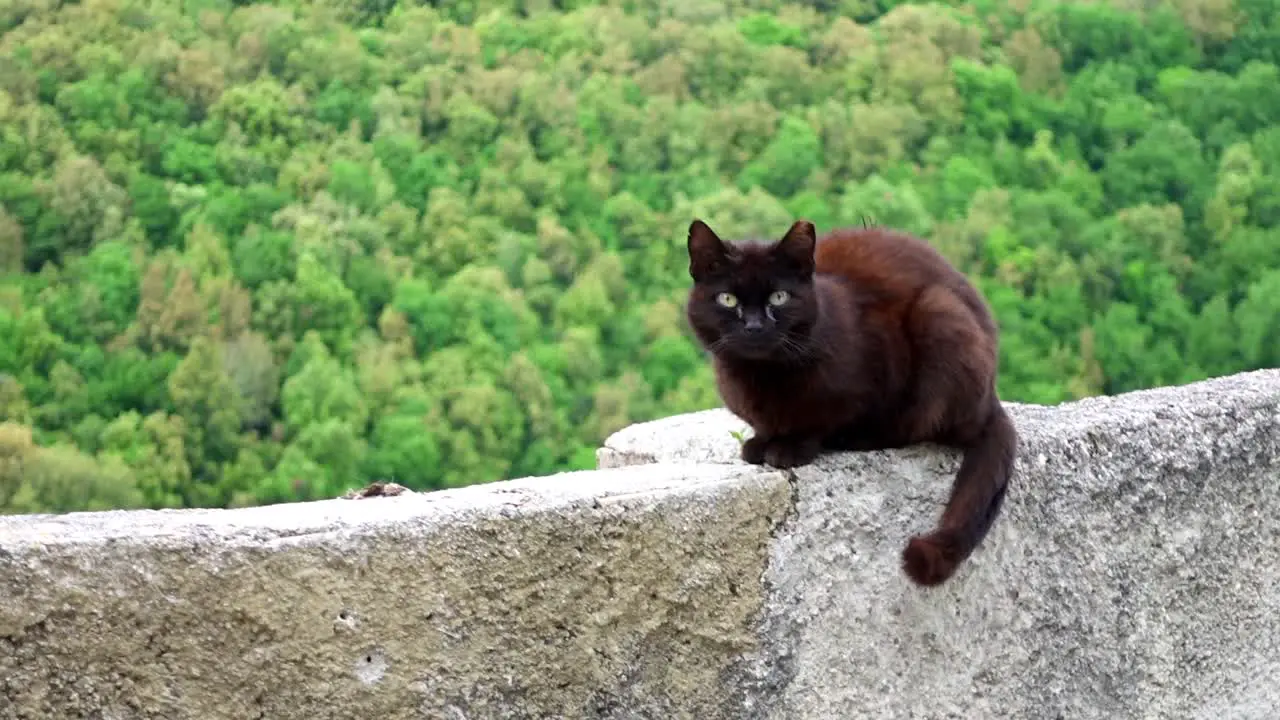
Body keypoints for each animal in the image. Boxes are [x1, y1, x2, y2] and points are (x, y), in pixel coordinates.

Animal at [686, 217, 1013, 584]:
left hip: (940, 315)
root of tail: (992, 398)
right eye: (727, 299)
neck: (762, 376)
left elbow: (822, 420)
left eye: (779, 297)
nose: (754, 326)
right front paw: (762, 442)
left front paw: (790, 447)